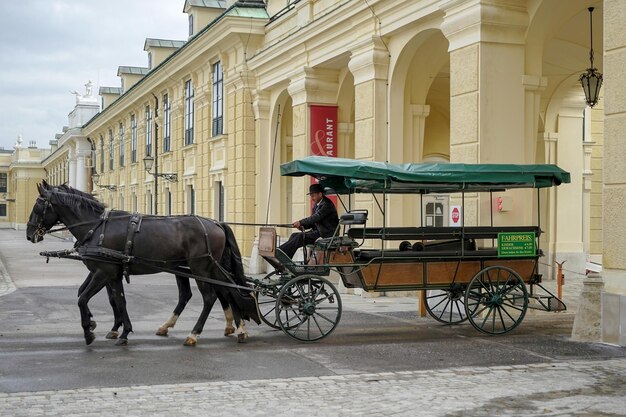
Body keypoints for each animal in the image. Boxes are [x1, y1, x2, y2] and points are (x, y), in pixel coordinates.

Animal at [26, 182, 258, 344]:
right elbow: (117, 301)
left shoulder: (103, 272)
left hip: (200, 268)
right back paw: (239, 329)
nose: (29, 234)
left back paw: (195, 334)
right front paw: (119, 330)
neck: (97, 226)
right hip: (209, 268)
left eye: (37, 206)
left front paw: (89, 330)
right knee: (228, 290)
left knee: (211, 297)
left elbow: (83, 298)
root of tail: (216, 223)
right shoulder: (112, 274)